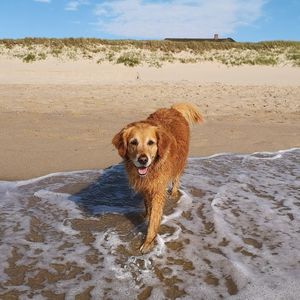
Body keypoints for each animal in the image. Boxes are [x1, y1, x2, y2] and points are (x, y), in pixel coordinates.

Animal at [113, 103, 204, 253]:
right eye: (133, 142)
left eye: (151, 143)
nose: (143, 160)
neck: (151, 169)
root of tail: (172, 109)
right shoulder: (145, 186)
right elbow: (147, 206)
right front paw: (146, 216)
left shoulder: (158, 190)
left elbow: (154, 217)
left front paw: (148, 241)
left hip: (179, 162)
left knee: (176, 179)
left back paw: (174, 193)